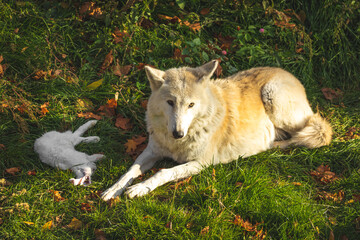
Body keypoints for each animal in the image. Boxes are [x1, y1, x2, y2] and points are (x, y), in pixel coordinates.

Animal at [101, 60, 332, 201]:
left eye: (191, 105)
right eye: (170, 102)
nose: (178, 133)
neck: (177, 143)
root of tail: (291, 74)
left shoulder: (200, 163)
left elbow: (163, 172)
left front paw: (140, 188)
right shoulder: (152, 151)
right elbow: (130, 170)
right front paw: (113, 189)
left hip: (274, 99)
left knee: (318, 133)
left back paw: (271, 145)